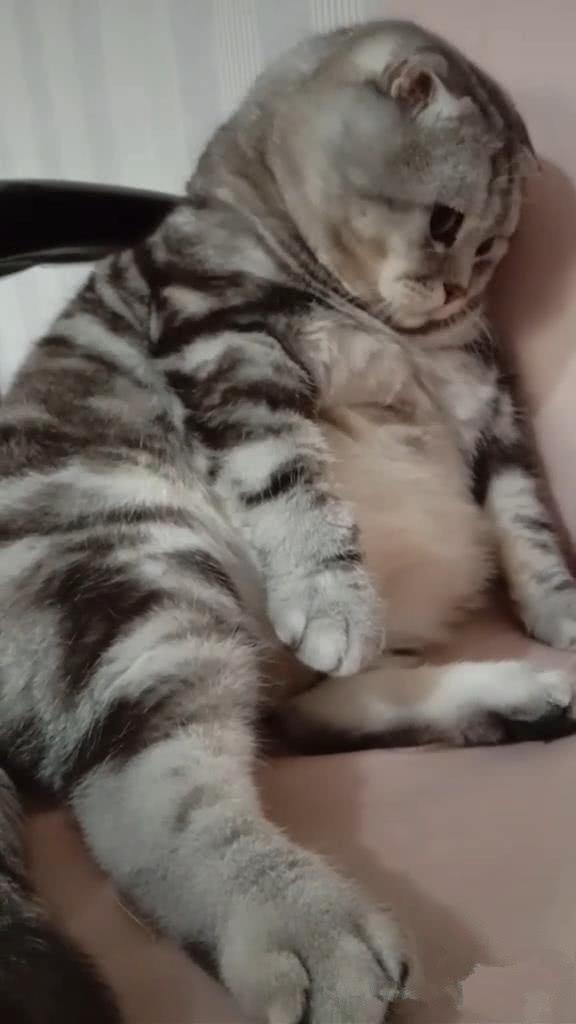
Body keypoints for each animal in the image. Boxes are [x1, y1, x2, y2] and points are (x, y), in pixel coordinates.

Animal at [1, 18, 576, 1024]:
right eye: (445, 223)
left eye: (487, 249)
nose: (454, 289)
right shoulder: (227, 344)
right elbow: (294, 488)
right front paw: (336, 598)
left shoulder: (490, 403)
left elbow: (525, 521)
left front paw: (558, 611)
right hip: (142, 574)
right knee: (149, 807)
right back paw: (308, 931)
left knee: (291, 719)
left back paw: (511, 700)